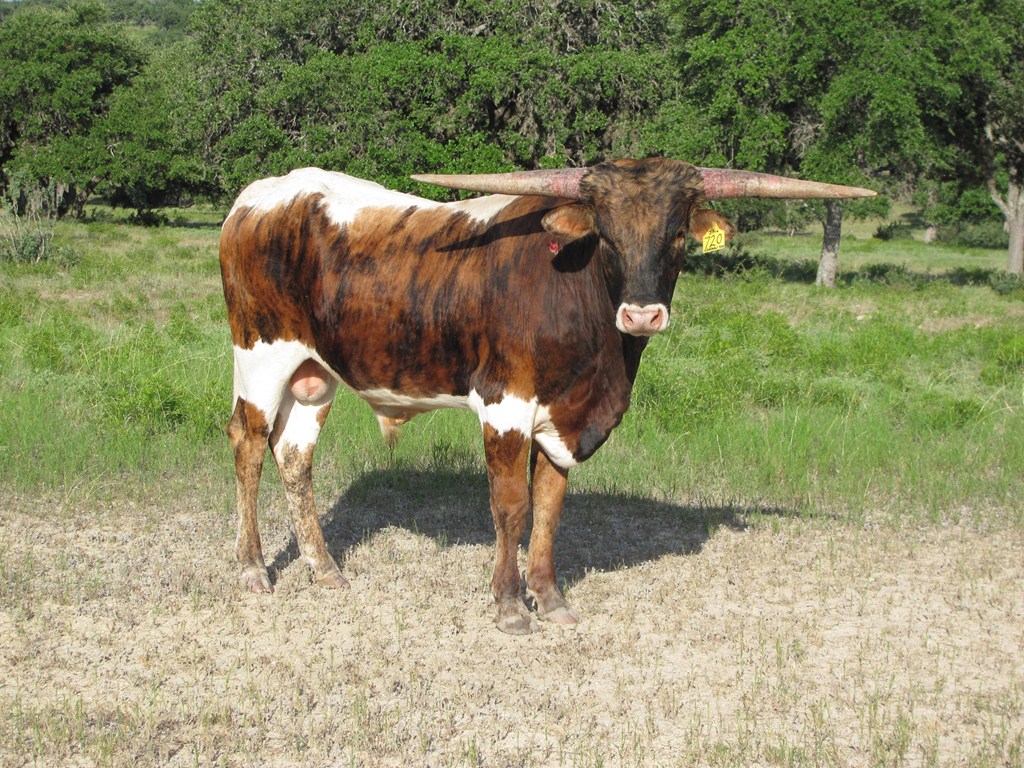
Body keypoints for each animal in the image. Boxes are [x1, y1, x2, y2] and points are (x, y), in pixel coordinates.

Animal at [219, 157, 873, 634]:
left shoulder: (565, 421)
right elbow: (512, 506)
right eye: (605, 234)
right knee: (248, 446)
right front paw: (510, 606)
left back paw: (324, 569)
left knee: (294, 456)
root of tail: (265, 192)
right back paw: (251, 569)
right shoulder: (505, 405)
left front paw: (550, 597)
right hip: (260, 357)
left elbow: (551, 508)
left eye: (678, 235)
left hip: (313, 373)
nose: (641, 314)